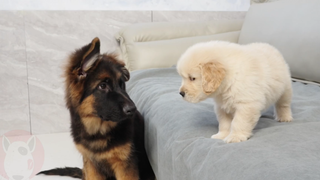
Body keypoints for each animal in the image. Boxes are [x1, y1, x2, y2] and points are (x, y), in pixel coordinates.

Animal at [37, 37, 155, 179]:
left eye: (121, 84)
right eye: (102, 86)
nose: (132, 109)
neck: (98, 130)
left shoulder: (125, 165)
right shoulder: (91, 164)